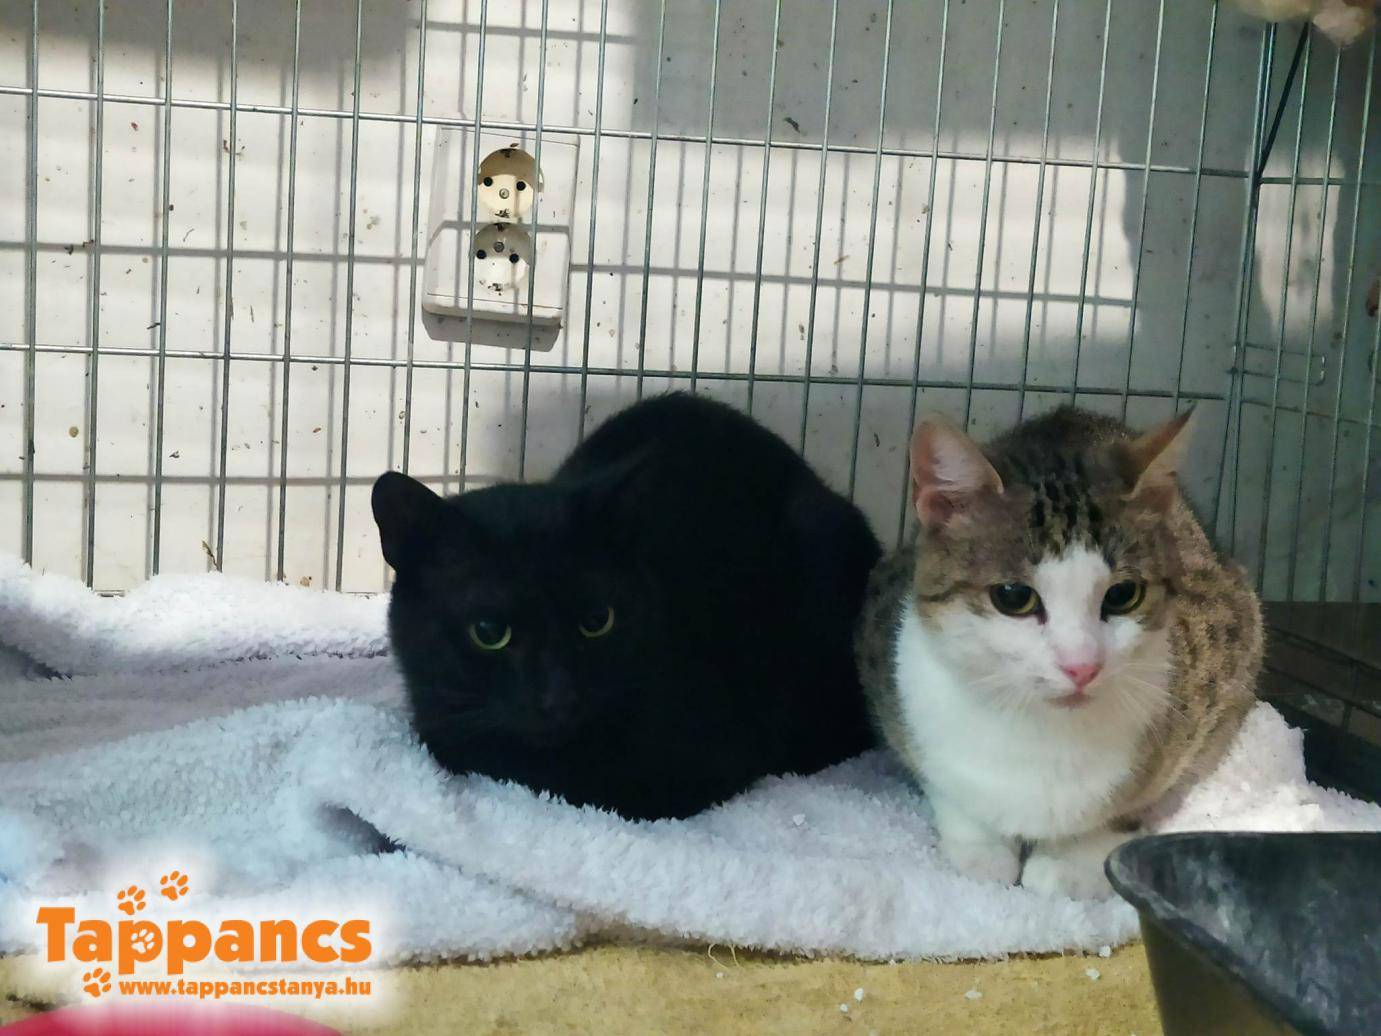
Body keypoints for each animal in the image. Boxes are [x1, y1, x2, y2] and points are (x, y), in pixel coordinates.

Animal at [855, 406, 1263, 899]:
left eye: (1123, 594)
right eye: (1014, 596)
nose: (1082, 666)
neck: (1037, 729)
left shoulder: (1226, 657)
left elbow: (1140, 798)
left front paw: (1071, 861)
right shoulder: (885, 655)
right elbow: (945, 784)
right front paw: (980, 849)